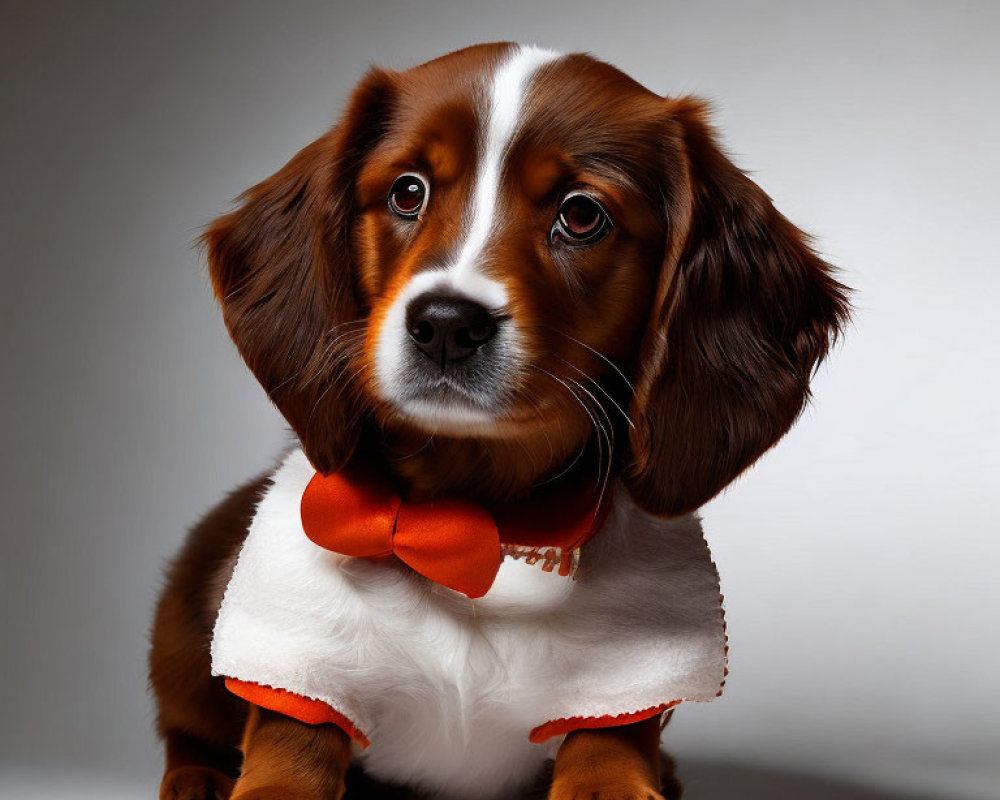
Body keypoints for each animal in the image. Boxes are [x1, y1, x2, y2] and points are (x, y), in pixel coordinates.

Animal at [150, 43, 852, 800]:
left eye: (582, 214)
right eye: (407, 191)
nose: (445, 324)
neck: (470, 523)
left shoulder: (622, 682)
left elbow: (609, 750)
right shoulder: (301, 657)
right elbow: (288, 751)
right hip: (184, 632)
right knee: (186, 727)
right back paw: (196, 778)